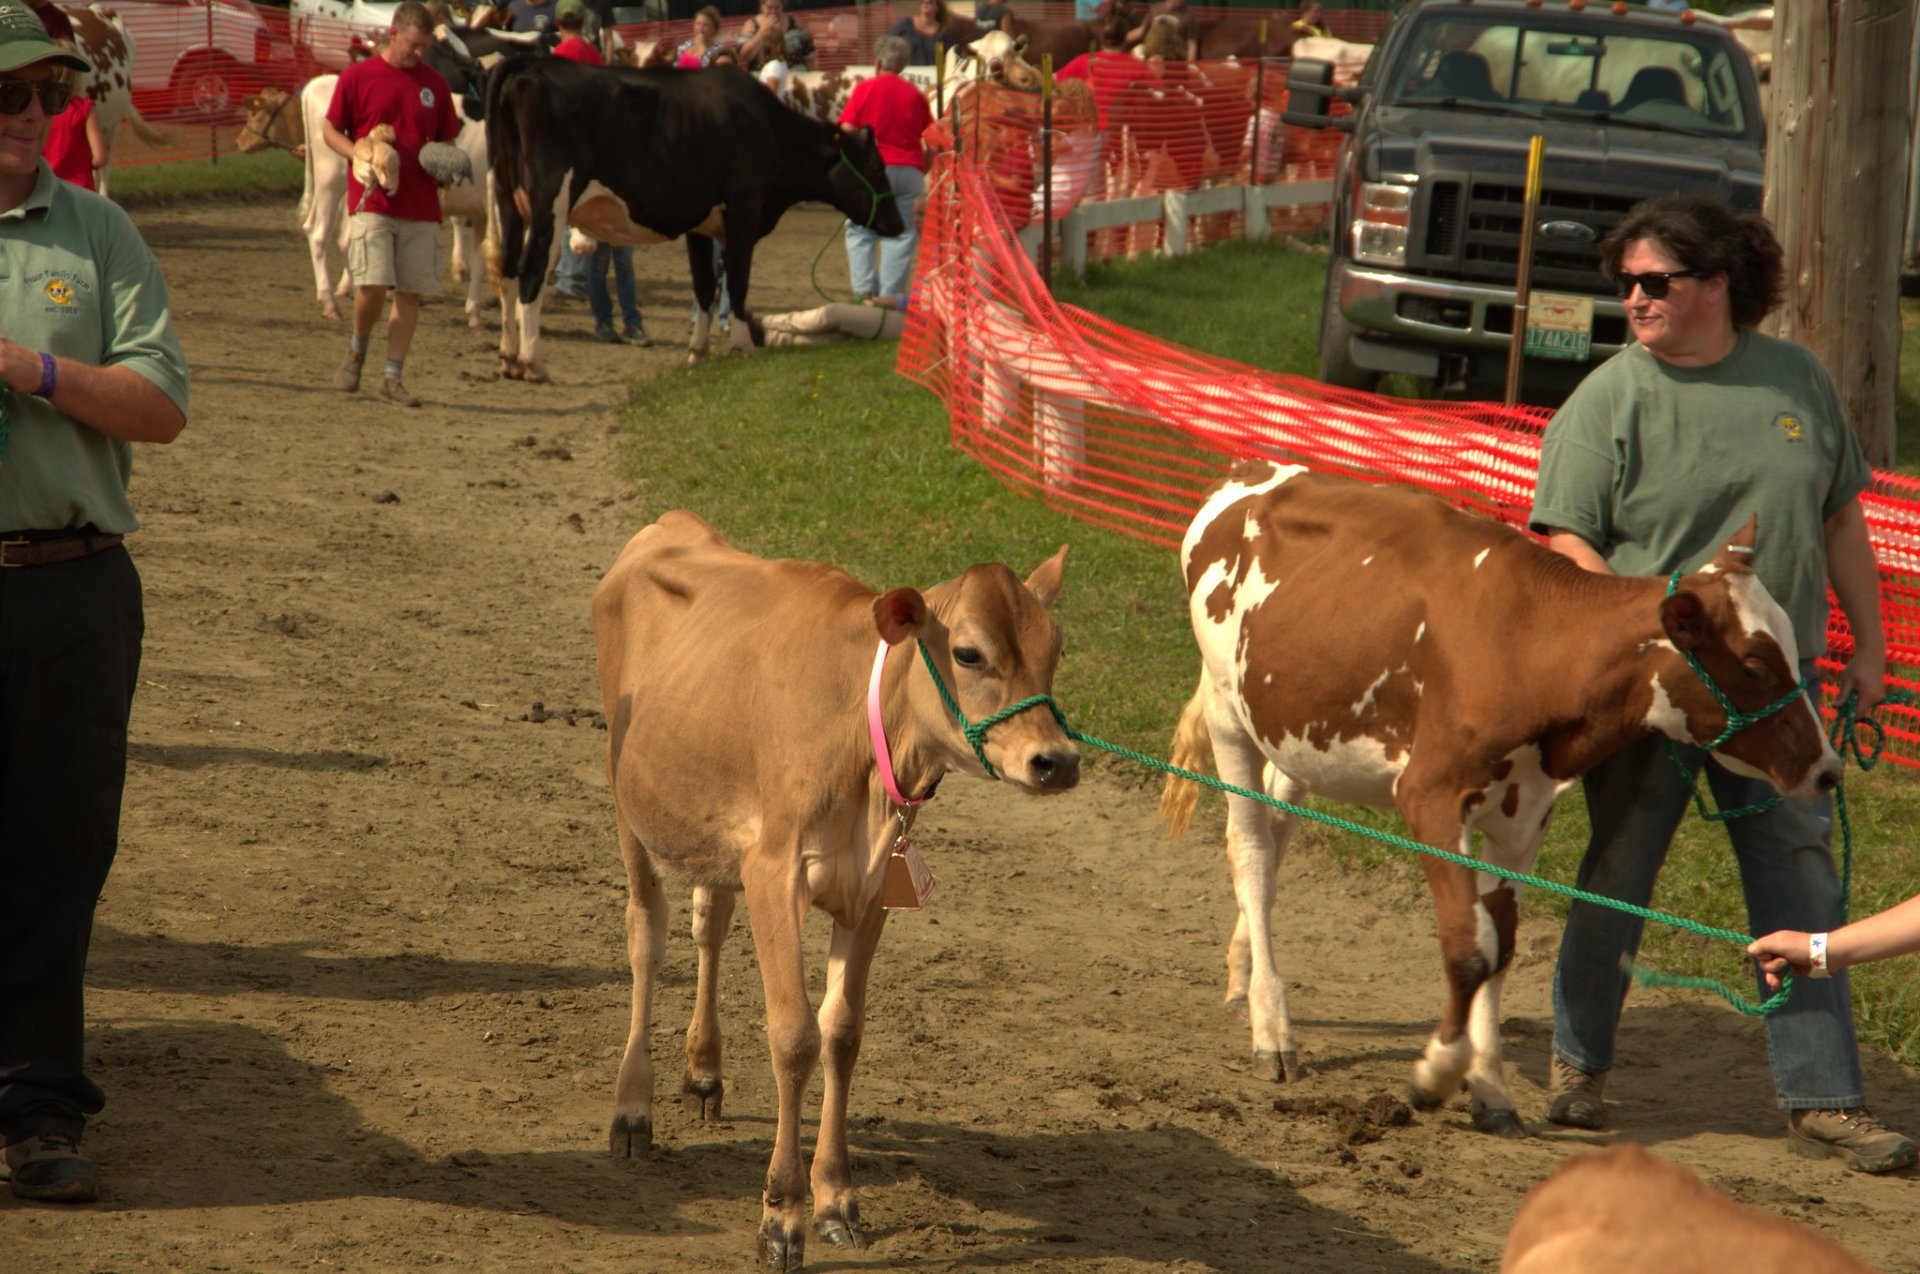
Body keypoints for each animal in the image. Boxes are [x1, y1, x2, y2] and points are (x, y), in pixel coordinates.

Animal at [476, 53, 902, 377]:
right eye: (877, 166)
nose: (898, 224)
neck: (767, 125)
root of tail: (532, 64)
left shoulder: (700, 224)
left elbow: (703, 285)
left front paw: (698, 353)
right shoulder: (744, 212)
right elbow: (738, 282)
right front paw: (743, 346)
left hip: (507, 200)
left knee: (508, 269)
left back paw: (509, 357)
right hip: (551, 201)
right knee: (531, 270)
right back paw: (533, 362)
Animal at [1152, 466, 1843, 1135]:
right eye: (1753, 666)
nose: (1828, 770)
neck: (1530, 644)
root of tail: (1247, 476)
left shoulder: (1525, 813)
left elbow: (1502, 949)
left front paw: (1489, 1090)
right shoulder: (1429, 797)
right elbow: (1469, 948)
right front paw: (1437, 1072)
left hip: (1294, 733)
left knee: (1276, 835)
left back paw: (1243, 971)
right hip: (1228, 712)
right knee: (1250, 851)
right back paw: (1272, 1026)